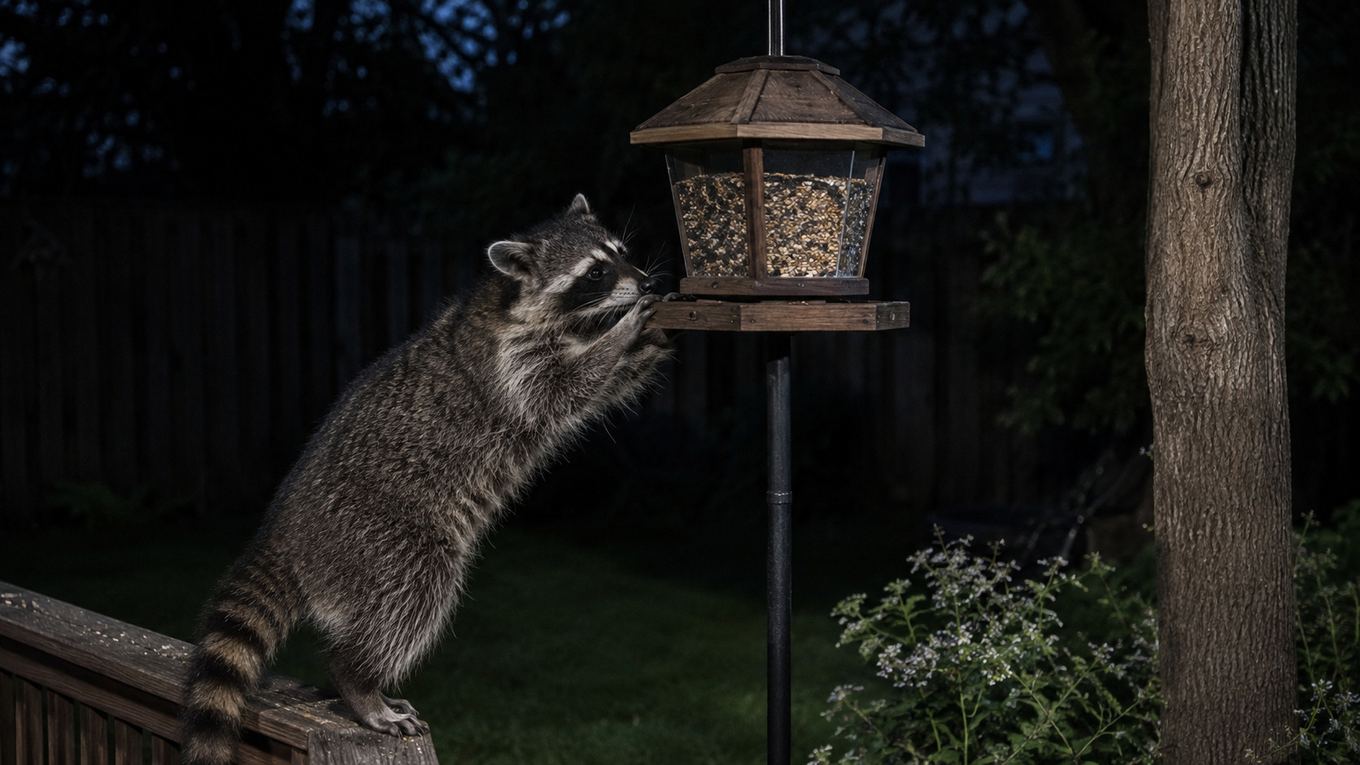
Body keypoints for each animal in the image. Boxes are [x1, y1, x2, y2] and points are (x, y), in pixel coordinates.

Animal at [180, 194, 668, 764]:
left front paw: (654, 334)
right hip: (381, 540)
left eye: (621, 252)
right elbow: (566, 386)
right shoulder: (508, 366)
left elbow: (609, 385)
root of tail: (283, 534)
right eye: (594, 272)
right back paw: (359, 680)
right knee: (415, 592)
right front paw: (623, 331)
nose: (645, 283)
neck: (511, 302)